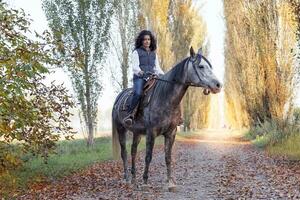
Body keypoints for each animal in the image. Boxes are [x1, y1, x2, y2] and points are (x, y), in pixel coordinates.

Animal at [111, 46, 221, 190]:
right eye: (201, 66)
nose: (218, 85)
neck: (165, 98)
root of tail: (119, 97)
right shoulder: (151, 133)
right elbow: (148, 156)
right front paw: (145, 181)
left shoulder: (171, 133)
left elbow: (168, 157)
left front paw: (170, 182)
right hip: (121, 129)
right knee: (124, 153)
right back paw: (127, 179)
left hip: (137, 132)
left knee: (133, 151)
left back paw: (134, 178)